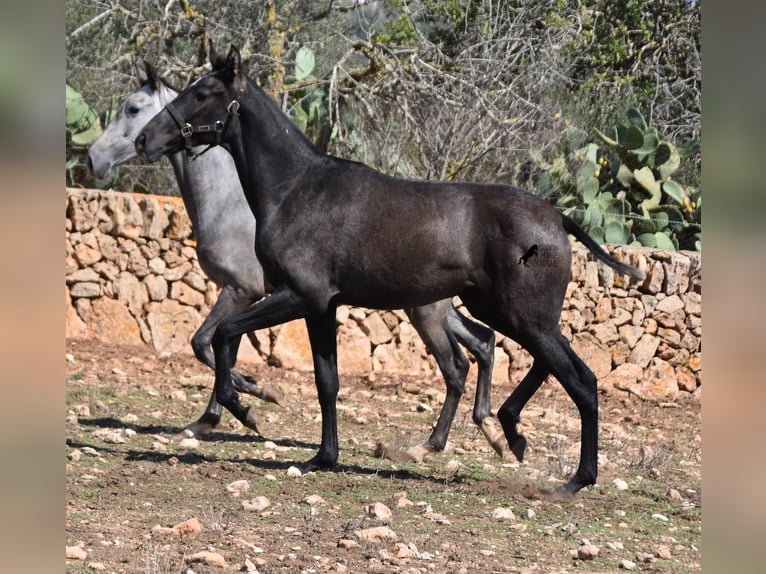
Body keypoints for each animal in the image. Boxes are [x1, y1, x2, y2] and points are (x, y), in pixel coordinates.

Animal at [88, 62, 504, 460]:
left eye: (133, 108)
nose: (95, 158)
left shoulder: (246, 291)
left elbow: (206, 342)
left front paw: (250, 401)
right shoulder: (256, 295)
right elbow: (223, 346)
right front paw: (228, 410)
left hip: (425, 311)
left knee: (457, 365)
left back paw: (439, 442)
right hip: (427, 307)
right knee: (481, 344)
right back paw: (486, 430)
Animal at [135, 46, 644, 496]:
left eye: (203, 93)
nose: (144, 140)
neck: (296, 190)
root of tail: (557, 217)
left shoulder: (299, 296)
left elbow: (223, 336)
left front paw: (244, 406)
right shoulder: (320, 308)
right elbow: (326, 382)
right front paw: (322, 456)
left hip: (518, 315)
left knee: (579, 380)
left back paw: (571, 477)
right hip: (505, 312)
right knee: (536, 361)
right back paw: (511, 431)